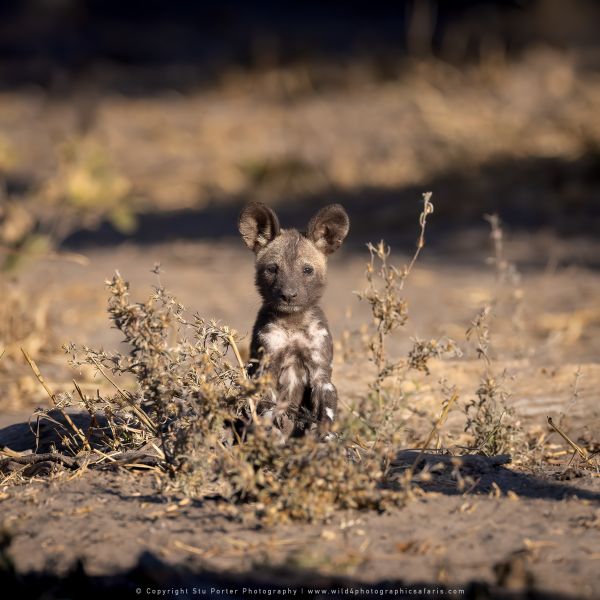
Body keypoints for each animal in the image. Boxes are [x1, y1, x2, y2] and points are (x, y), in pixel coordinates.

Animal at [239, 203, 350, 440]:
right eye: (272, 269)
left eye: (307, 270)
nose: (288, 295)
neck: (294, 325)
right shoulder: (266, 368)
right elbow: (269, 408)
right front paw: (275, 427)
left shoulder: (321, 376)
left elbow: (327, 410)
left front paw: (323, 434)